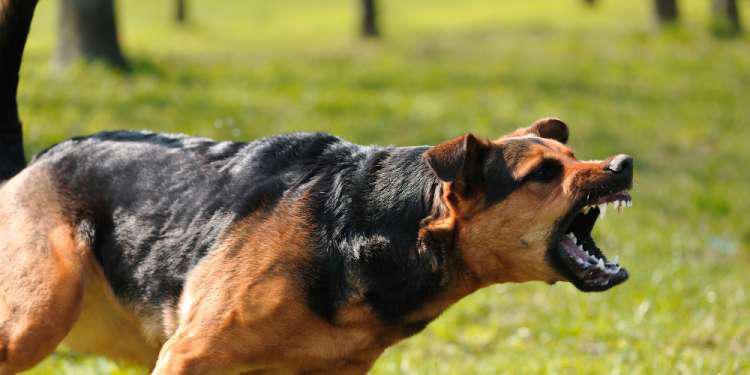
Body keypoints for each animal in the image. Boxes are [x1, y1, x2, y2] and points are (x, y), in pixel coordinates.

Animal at [0, 116, 636, 374]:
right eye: (543, 174)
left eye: (573, 156)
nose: (624, 164)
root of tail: (32, 162)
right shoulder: (186, 357)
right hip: (39, 316)